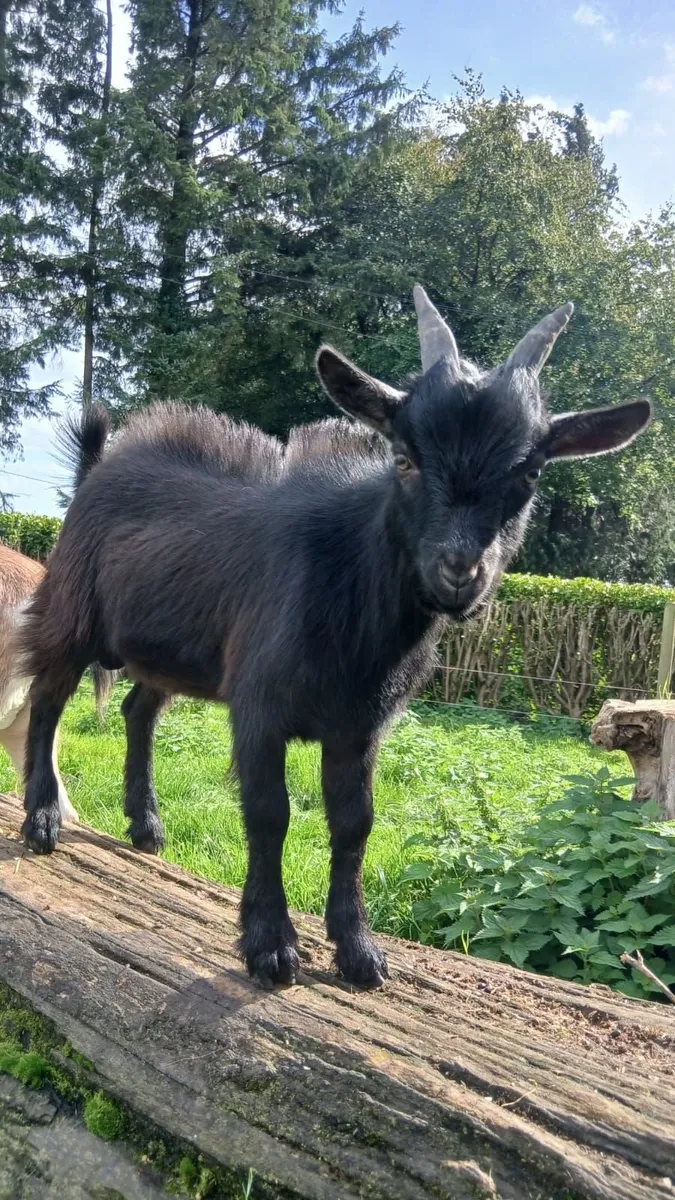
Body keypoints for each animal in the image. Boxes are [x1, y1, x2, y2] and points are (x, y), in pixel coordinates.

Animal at [19, 288, 651, 989]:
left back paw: (146, 824)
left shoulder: (360, 725)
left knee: (137, 710)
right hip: (71, 611)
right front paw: (270, 945)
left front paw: (359, 949)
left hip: (173, 651)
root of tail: (98, 466)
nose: (460, 570)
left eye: (531, 474)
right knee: (48, 699)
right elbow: (269, 813)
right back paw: (42, 819)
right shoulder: (259, 707)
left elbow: (354, 825)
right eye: (403, 457)